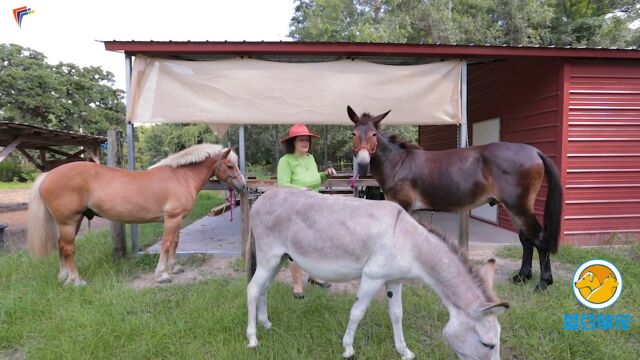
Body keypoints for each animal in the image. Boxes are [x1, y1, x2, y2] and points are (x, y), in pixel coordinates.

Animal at [26, 142, 245, 286]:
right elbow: (166, 245)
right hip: (68, 222)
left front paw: (174, 267)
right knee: (68, 249)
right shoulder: (172, 218)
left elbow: (175, 243)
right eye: (230, 165)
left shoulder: (178, 219)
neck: (181, 177)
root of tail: (48, 174)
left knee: (61, 247)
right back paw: (76, 280)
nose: (243, 186)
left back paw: (63, 278)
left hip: (74, 221)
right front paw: (162, 274)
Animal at [248, 188, 508, 360]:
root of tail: (262, 197)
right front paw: (348, 349)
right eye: (487, 344)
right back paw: (252, 339)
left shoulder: (394, 281)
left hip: (279, 259)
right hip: (269, 257)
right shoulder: (372, 277)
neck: (409, 243)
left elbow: (397, 314)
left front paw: (404, 351)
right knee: (252, 290)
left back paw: (266, 324)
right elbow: (357, 312)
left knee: (264, 289)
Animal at [348, 105, 564, 292]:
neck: (399, 163)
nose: (363, 164)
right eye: (353, 134)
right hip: (514, 208)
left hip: (519, 206)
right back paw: (522, 276)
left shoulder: (402, 205)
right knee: (527, 240)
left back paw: (543, 283)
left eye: (374, 134)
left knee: (539, 239)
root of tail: (533, 151)